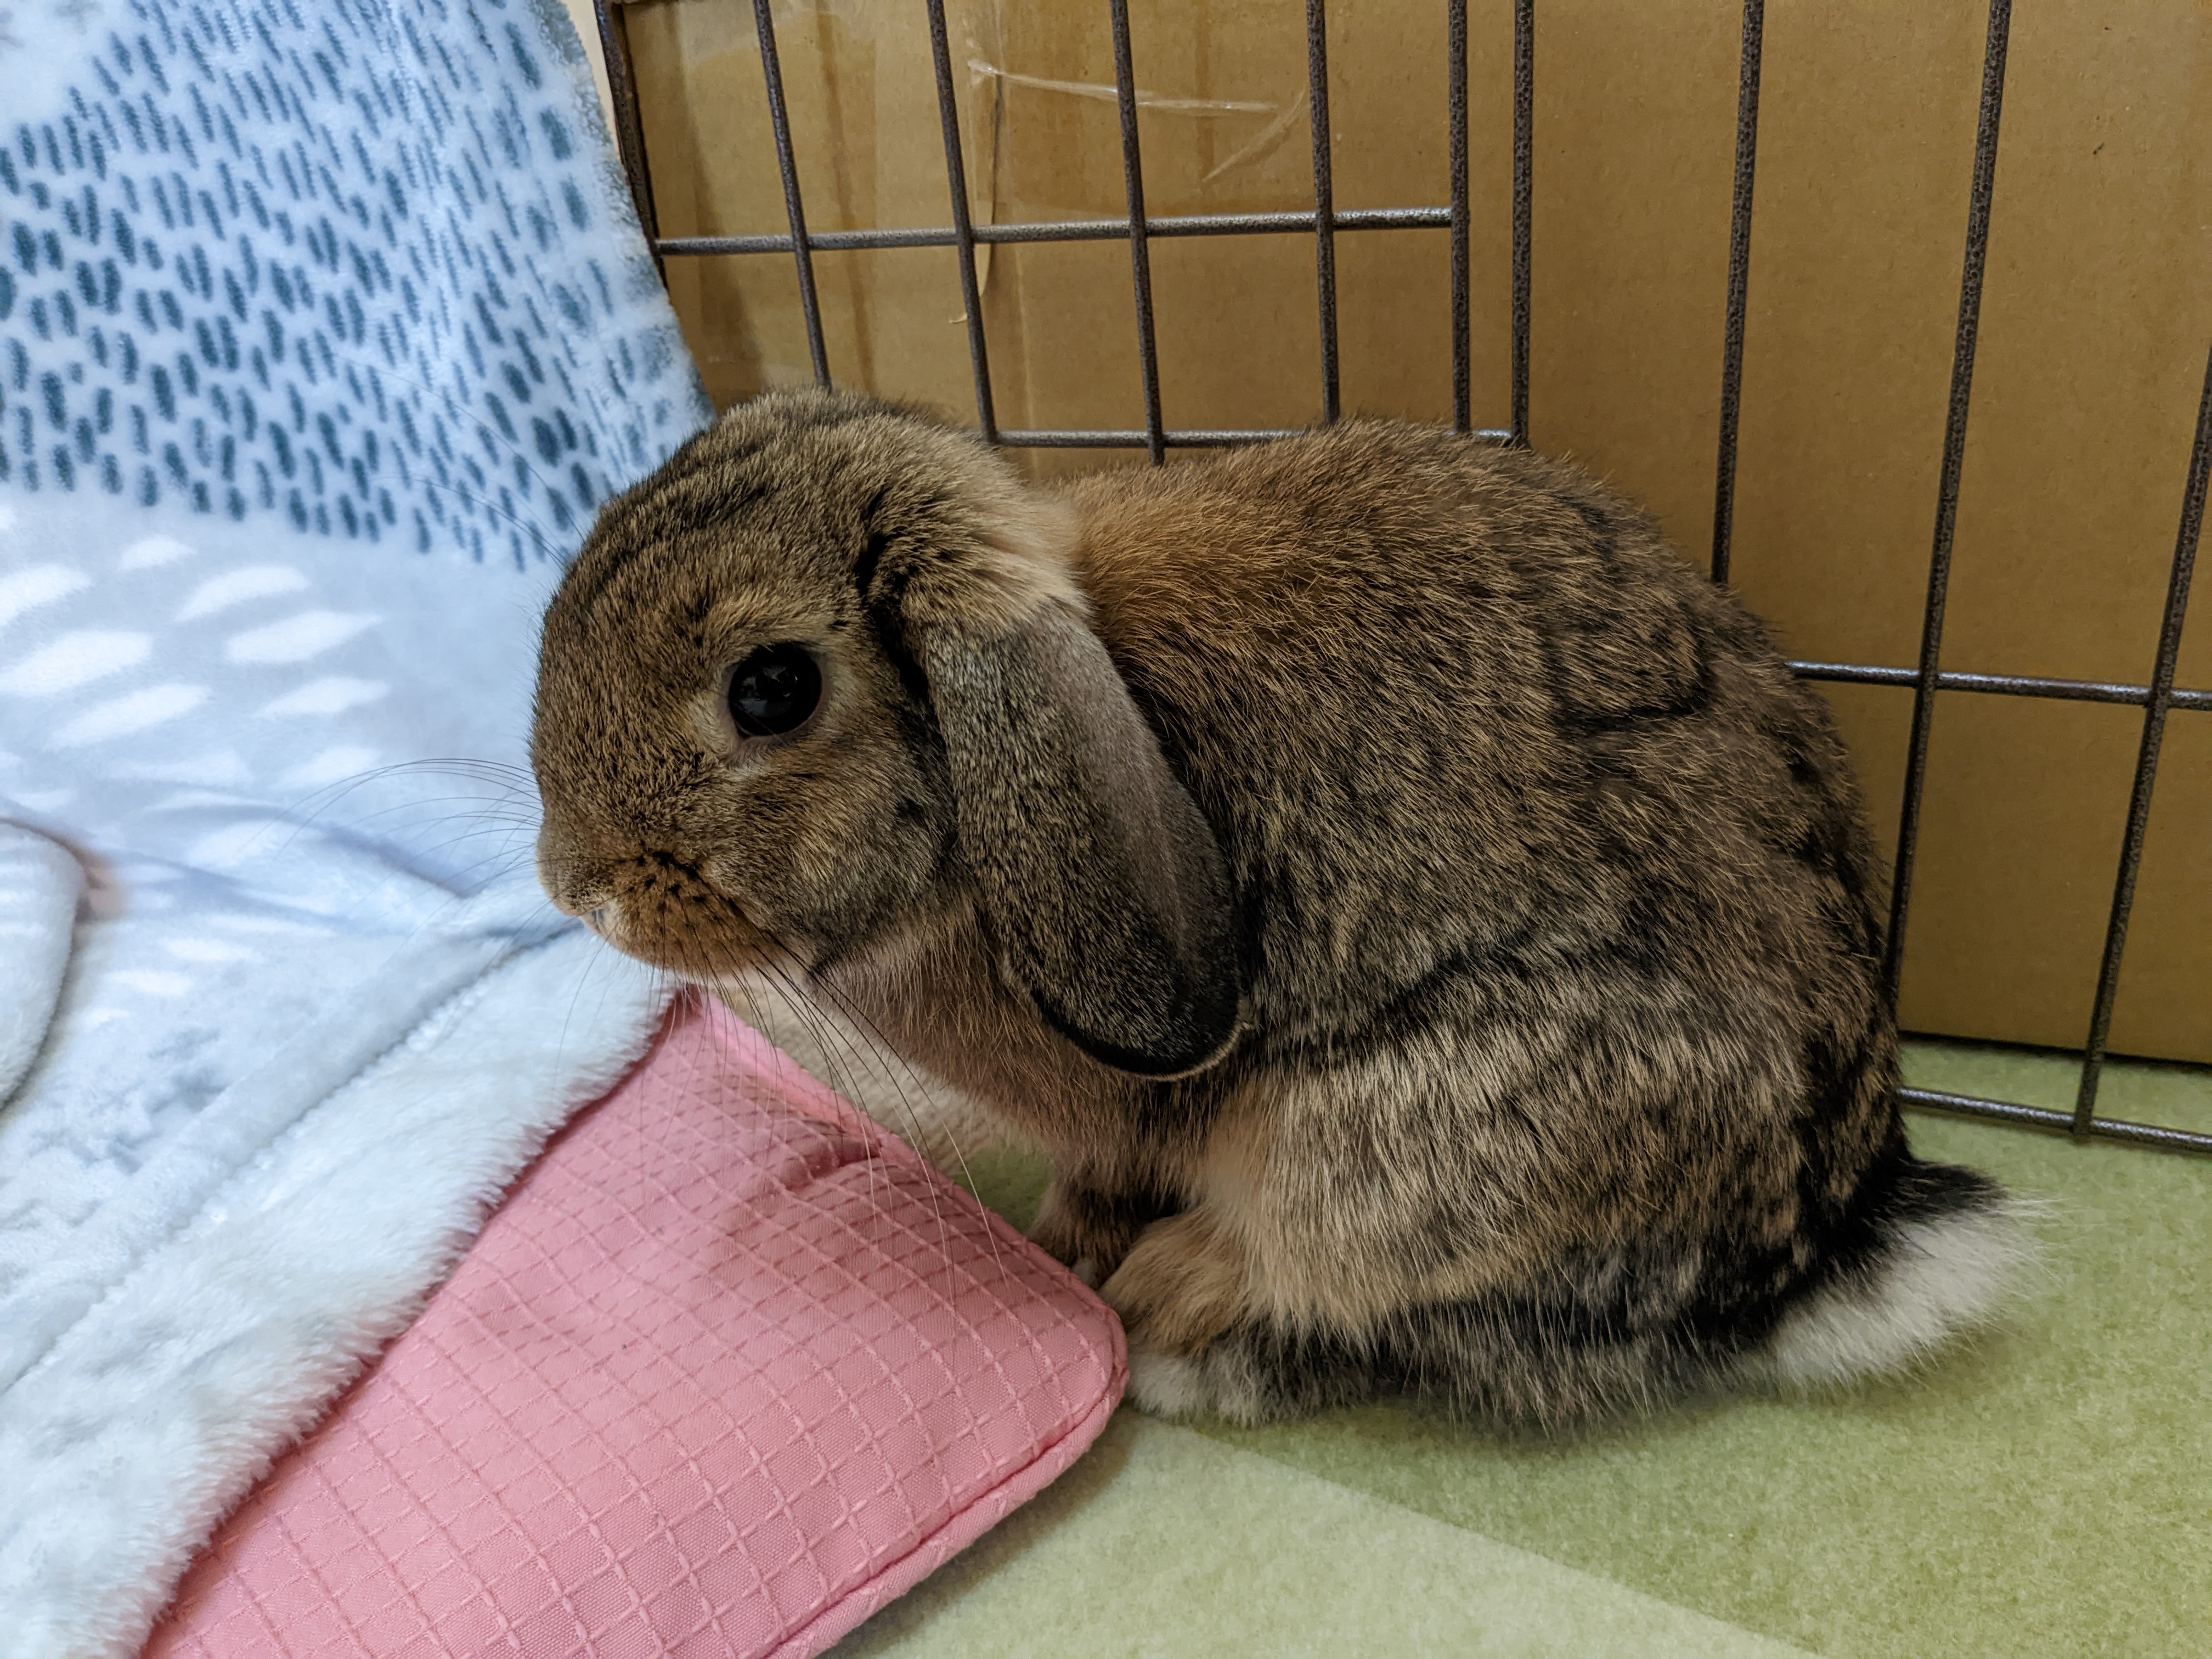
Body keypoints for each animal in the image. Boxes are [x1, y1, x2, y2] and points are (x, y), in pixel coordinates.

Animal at [530, 386, 2029, 1427]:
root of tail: (1821, 1247)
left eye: (772, 689)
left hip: (1370, 1148)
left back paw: (1171, 1314)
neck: (977, 815)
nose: (579, 888)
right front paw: (1054, 1240)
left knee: (1382, 1317)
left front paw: (1081, 1254)